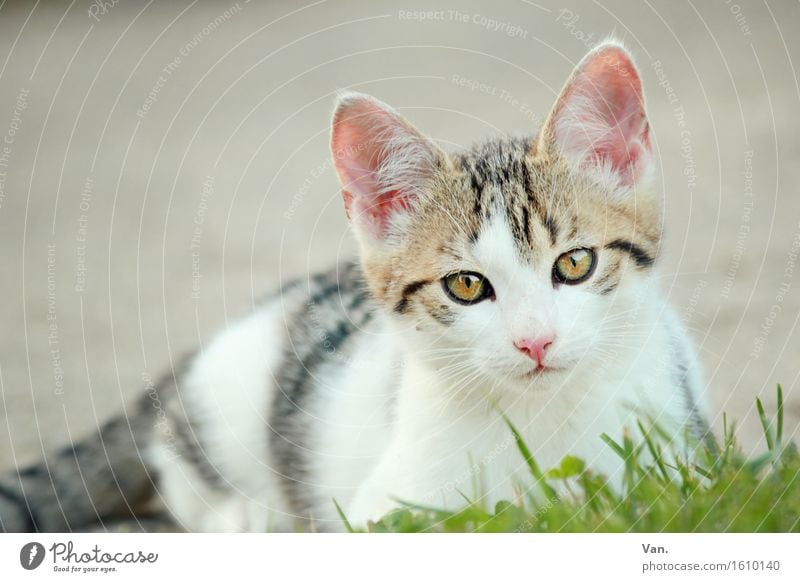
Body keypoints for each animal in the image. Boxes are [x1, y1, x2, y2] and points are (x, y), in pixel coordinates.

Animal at [0, 41, 712, 532]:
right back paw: (251, 516)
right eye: (465, 285)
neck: (542, 418)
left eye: (574, 264)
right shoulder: (384, 508)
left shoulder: (685, 457)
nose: (535, 342)